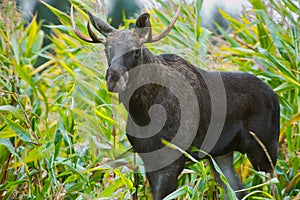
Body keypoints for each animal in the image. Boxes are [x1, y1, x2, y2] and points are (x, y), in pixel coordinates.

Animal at [69, 3, 278, 200]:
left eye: (135, 51)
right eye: (107, 49)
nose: (113, 78)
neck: (143, 113)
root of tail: (275, 96)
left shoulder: (173, 157)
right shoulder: (147, 156)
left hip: (265, 148)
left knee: (272, 185)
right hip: (221, 154)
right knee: (237, 189)